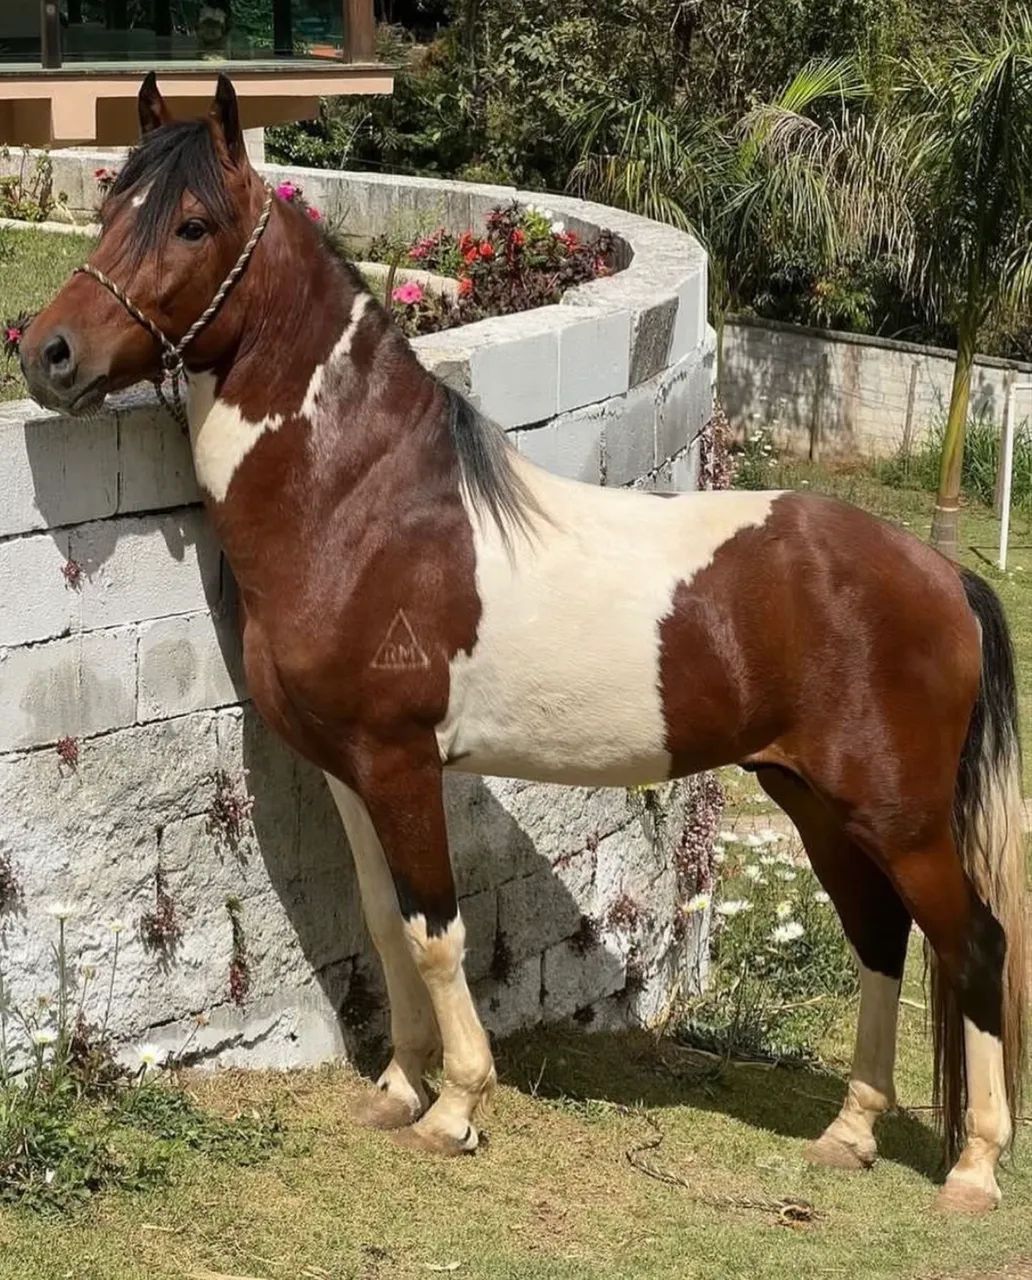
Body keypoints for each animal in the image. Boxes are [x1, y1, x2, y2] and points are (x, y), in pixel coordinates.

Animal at [20, 73, 1027, 1214]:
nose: (46, 354)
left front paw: (455, 1104)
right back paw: (849, 1134)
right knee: (880, 936)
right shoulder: (347, 773)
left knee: (975, 945)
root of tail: (943, 577)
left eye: (192, 223)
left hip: (900, 817)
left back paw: (975, 1168)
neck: (360, 509)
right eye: (110, 205)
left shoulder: (402, 763)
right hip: (815, 798)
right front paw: (398, 1084)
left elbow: (436, 931)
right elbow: (383, 921)